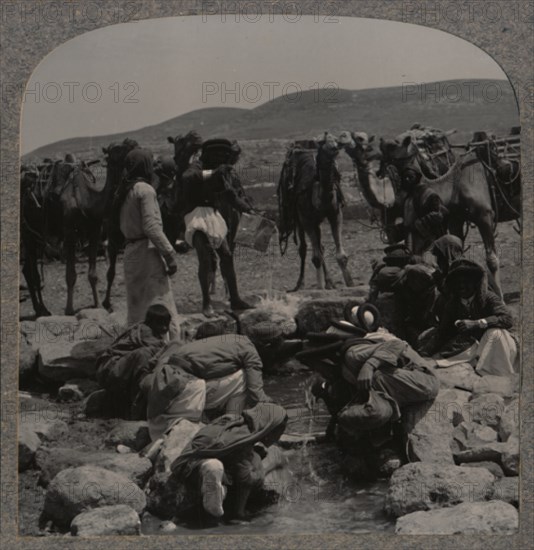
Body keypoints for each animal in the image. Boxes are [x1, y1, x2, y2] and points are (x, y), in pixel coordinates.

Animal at [278, 134, 354, 294]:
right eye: (324, 144)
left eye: (336, 141)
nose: (335, 148)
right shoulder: (306, 219)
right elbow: (315, 256)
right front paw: (319, 286)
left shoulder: (335, 214)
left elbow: (340, 255)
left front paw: (350, 282)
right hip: (298, 219)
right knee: (304, 248)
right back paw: (300, 283)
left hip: (316, 222)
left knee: (320, 246)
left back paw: (330, 282)